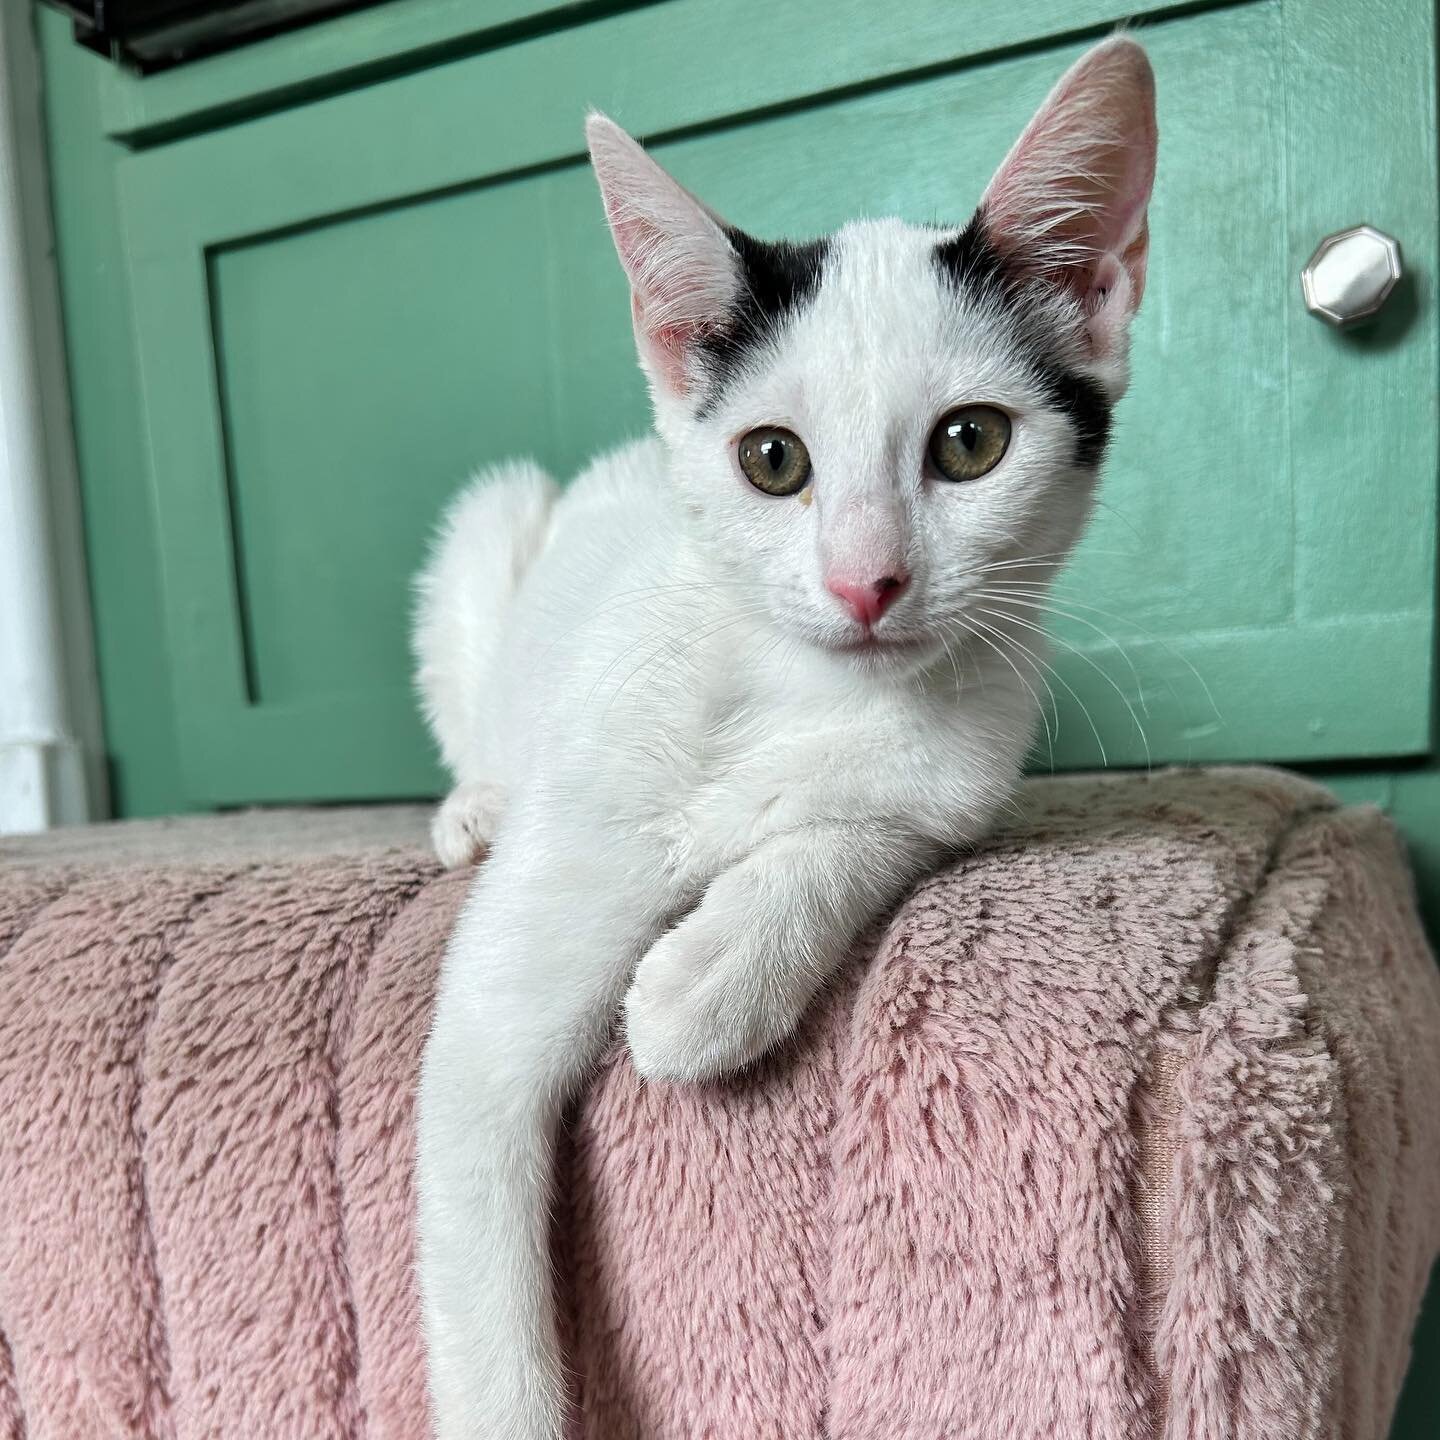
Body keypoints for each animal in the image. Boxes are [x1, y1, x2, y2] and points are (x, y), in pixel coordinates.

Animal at [411, 33, 1152, 1440]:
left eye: (970, 442)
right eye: (772, 461)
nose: (867, 583)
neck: (798, 693)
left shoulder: (957, 779)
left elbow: (858, 832)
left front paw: (710, 979)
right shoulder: (508, 985)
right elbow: (480, 1164)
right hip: (493, 521)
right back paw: (473, 803)